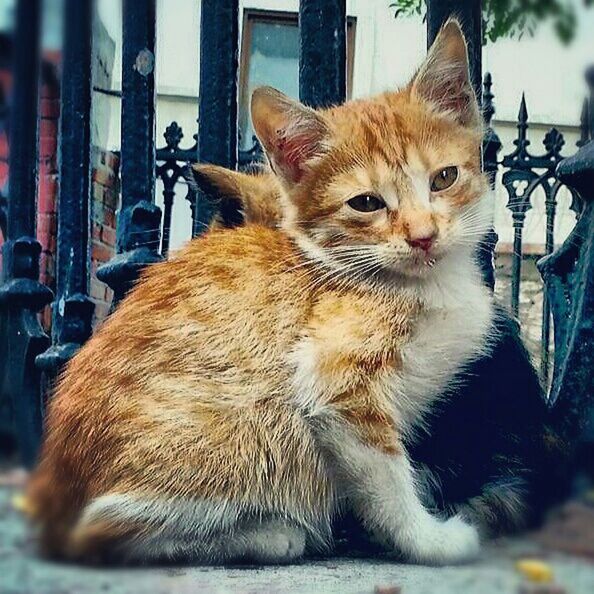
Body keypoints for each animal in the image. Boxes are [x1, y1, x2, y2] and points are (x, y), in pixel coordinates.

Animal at [28, 19, 500, 564]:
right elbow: (386, 477)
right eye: (365, 203)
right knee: (102, 531)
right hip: (245, 429)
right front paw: (428, 540)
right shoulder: (333, 377)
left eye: (445, 178)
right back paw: (268, 533)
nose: (423, 235)